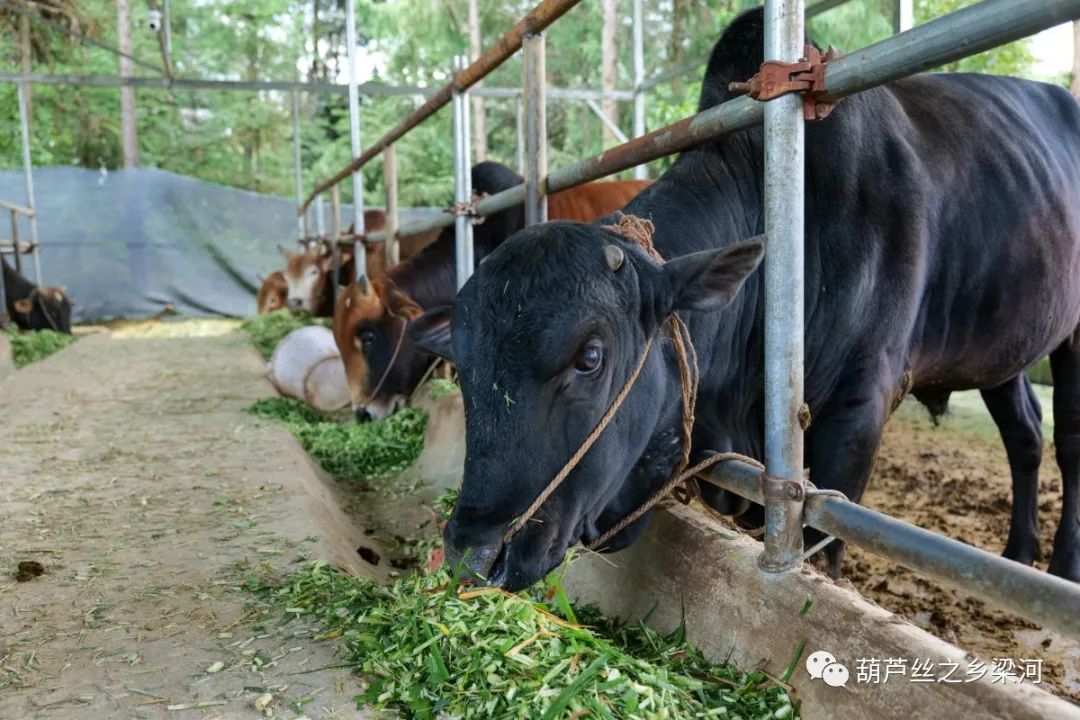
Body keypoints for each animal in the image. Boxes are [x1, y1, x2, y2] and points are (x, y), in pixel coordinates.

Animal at [408, 7, 1080, 591]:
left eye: (590, 357)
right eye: (464, 370)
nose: (473, 554)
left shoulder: (861, 405)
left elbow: (825, 547)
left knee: (1064, 442)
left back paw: (1060, 564)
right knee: (1025, 432)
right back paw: (1018, 552)